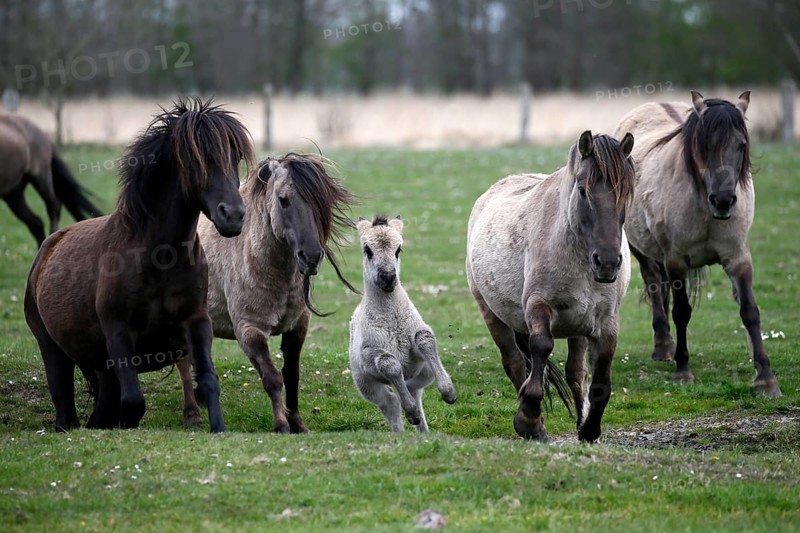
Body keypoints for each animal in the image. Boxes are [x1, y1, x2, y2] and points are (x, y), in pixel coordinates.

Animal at [24, 98, 254, 433]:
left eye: (235, 157)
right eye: (195, 157)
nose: (234, 216)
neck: (159, 258)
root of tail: (46, 249)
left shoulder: (197, 322)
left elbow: (209, 382)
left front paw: (218, 429)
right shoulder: (118, 331)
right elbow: (133, 401)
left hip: (101, 367)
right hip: (52, 351)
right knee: (65, 408)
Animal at [176, 153, 357, 433]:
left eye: (321, 200)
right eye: (283, 200)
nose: (311, 257)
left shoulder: (297, 327)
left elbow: (291, 375)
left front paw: (297, 422)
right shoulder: (249, 331)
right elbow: (272, 378)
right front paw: (281, 425)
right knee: (183, 363)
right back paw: (191, 413)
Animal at [349, 216, 457, 432]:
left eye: (398, 249)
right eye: (367, 250)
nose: (388, 277)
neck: (391, 318)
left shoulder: (417, 336)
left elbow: (425, 338)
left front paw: (449, 393)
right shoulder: (369, 353)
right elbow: (389, 363)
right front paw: (412, 412)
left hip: (423, 372)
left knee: (412, 388)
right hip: (365, 383)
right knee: (390, 403)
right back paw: (404, 426)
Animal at [467, 131, 635, 443]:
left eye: (627, 192)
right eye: (582, 191)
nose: (607, 263)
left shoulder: (605, 322)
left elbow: (600, 379)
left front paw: (590, 430)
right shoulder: (538, 305)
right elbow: (540, 349)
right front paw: (529, 420)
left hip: (578, 326)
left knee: (576, 373)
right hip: (492, 314)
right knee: (515, 362)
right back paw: (536, 425)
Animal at [614, 91, 781, 396]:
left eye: (741, 145)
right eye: (705, 146)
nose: (724, 201)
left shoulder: (738, 257)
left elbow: (750, 311)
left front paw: (765, 377)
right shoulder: (677, 261)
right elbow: (681, 312)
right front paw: (683, 370)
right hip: (640, 249)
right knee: (654, 283)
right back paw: (664, 347)